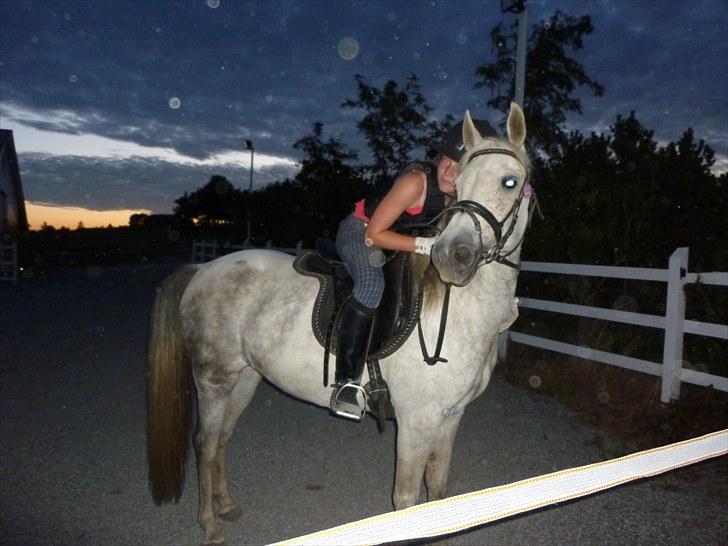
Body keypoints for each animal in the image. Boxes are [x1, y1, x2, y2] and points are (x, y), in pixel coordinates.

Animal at [147, 102, 533, 545]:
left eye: (510, 181)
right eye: (461, 182)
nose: (453, 255)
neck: (460, 314)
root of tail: (202, 269)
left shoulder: (450, 418)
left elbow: (437, 491)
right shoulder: (417, 421)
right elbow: (408, 502)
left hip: (244, 378)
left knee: (223, 438)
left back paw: (225, 505)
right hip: (213, 379)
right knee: (205, 443)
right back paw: (209, 523)